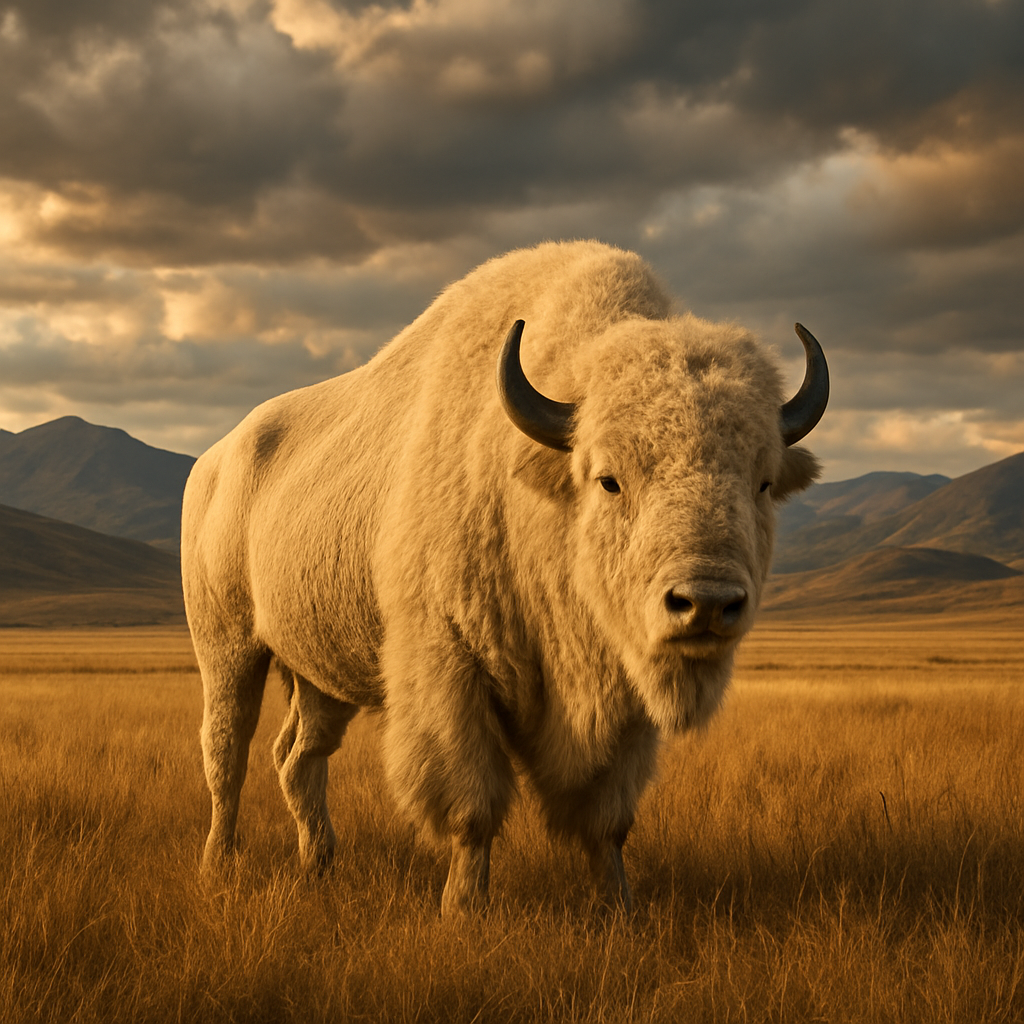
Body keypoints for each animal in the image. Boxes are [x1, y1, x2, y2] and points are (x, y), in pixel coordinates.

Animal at [181, 240, 828, 914]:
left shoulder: (622, 708)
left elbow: (607, 820)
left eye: (762, 482)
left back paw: (319, 865)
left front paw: (618, 908)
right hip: (228, 647)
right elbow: (473, 809)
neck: (538, 491)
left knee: (299, 757)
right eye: (609, 479)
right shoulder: (451, 670)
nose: (705, 602)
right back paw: (217, 863)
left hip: (318, 676)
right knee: (227, 752)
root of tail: (212, 462)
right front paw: (462, 909)